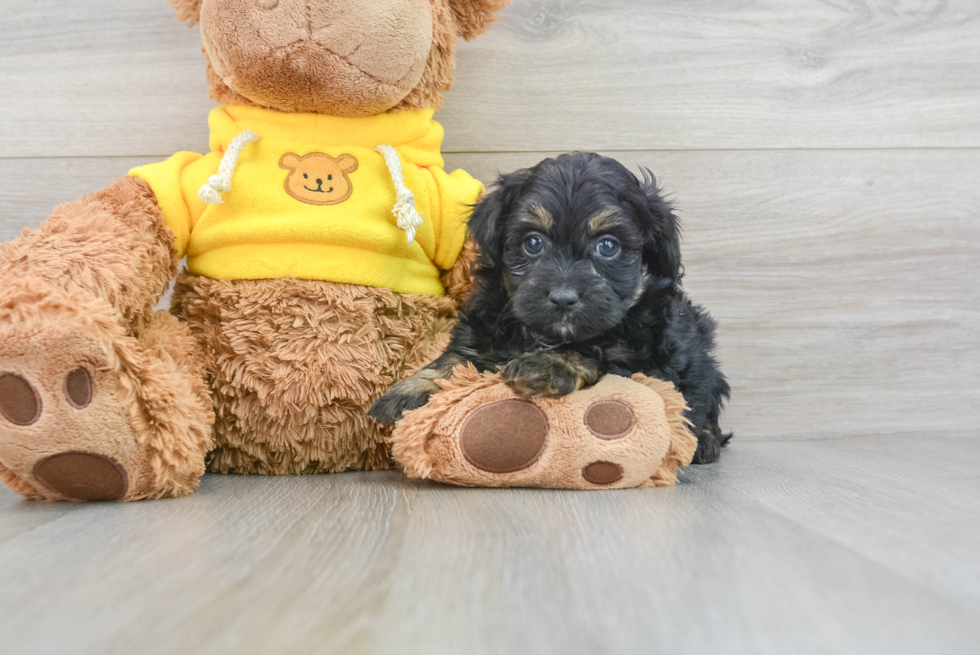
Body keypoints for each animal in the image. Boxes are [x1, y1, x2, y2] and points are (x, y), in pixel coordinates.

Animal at [372, 152, 732, 464]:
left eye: (608, 246)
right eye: (533, 242)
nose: (562, 297)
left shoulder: (646, 362)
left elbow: (594, 350)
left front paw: (548, 364)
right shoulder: (483, 327)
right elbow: (458, 359)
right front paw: (412, 388)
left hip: (702, 361)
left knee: (707, 399)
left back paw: (704, 441)